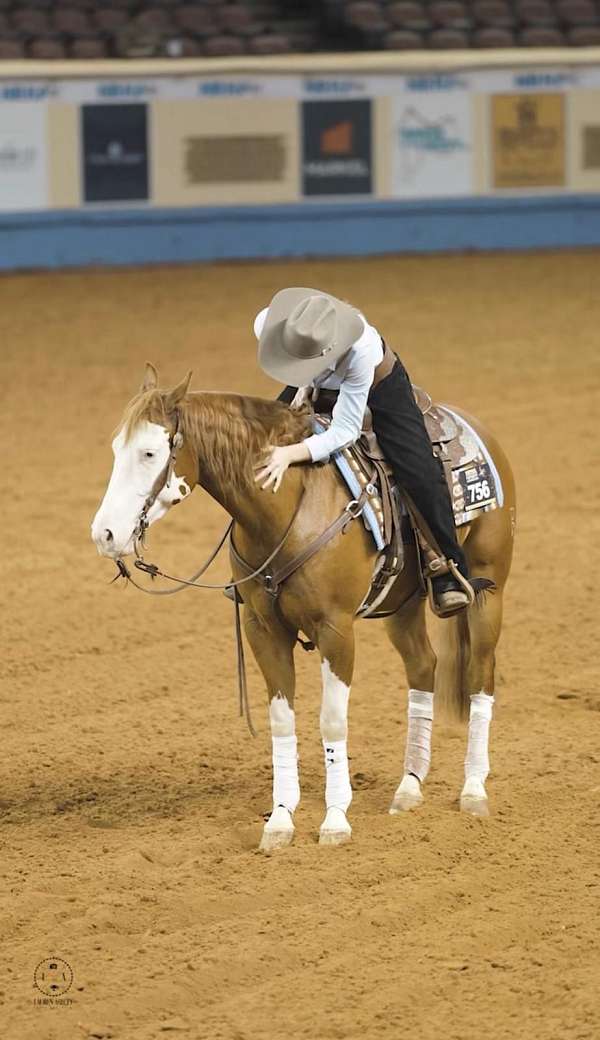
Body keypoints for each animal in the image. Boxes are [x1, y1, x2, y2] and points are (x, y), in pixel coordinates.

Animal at [91, 363, 515, 851]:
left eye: (149, 452)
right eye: (116, 449)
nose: (104, 534)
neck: (287, 508)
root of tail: (472, 424)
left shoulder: (336, 630)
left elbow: (331, 722)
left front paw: (335, 820)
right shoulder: (262, 629)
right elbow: (281, 722)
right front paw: (279, 820)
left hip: (488, 589)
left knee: (480, 674)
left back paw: (474, 789)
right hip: (401, 604)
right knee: (423, 666)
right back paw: (409, 786)